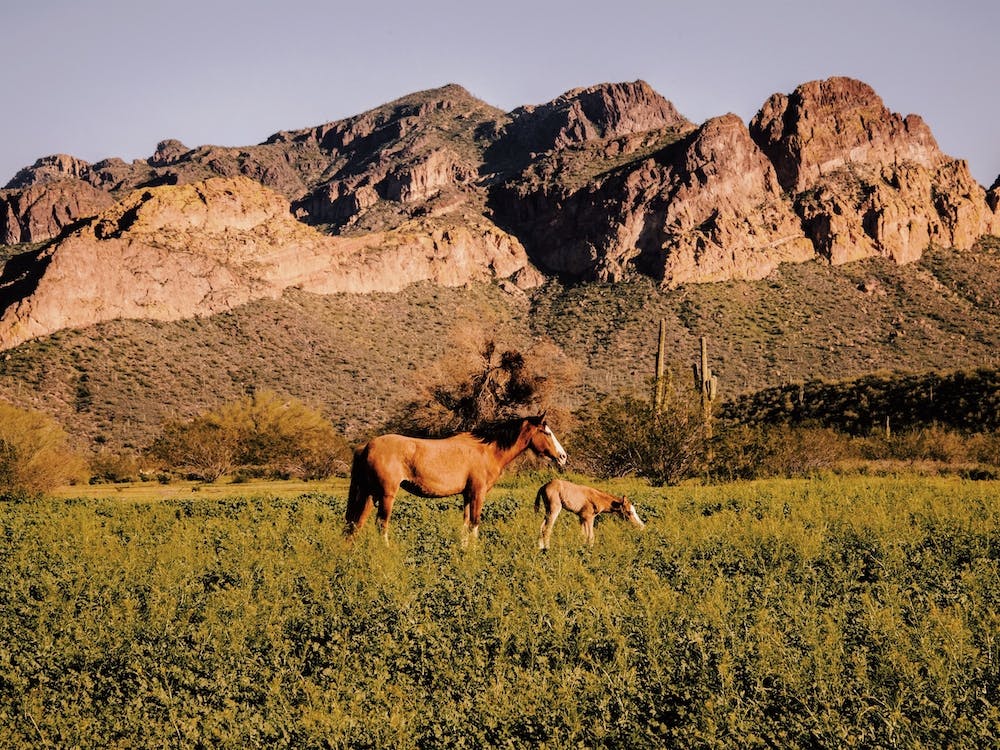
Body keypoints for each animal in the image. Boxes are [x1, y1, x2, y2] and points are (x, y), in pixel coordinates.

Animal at [345, 414, 567, 543]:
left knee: (356, 524)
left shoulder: (467, 495)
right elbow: (475, 523)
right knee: (381, 524)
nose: (563, 456)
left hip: (368, 495)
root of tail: (366, 446)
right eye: (546, 432)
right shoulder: (478, 493)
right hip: (386, 496)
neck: (487, 450)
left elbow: (466, 524)